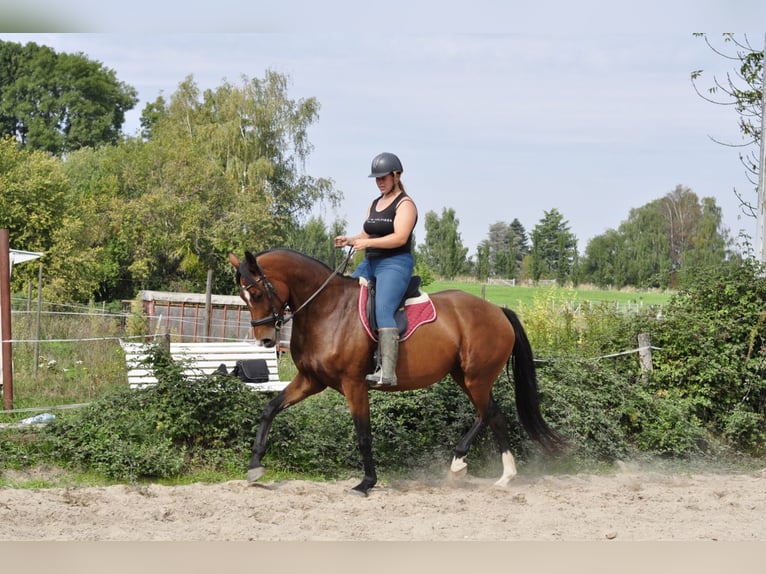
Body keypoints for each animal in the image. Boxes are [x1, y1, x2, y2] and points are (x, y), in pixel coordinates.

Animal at [229, 248, 564, 496]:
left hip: (476, 378)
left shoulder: (353, 385)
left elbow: (363, 435)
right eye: (244, 297)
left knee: (490, 414)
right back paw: (490, 472)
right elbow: (270, 408)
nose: (265, 340)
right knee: (492, 415)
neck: (327, 309)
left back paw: (480, 469)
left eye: (256, 294)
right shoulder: (311, 381)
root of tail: (498, 311)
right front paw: (255, 465)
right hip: (464, 377)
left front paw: (366, 483)